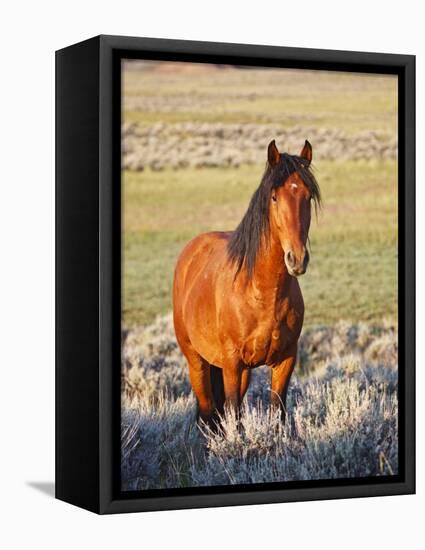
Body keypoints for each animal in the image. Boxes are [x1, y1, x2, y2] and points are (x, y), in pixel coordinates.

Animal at [171, 140, 318, 430]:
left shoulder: (285, 361)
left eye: (308, 197)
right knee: (207, 413)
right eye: (274, 197)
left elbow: (278, 413)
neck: (262, 293)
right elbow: (234, 416)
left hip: (243, 372)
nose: (297, 259)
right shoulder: (231, 363)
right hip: (197, 362)